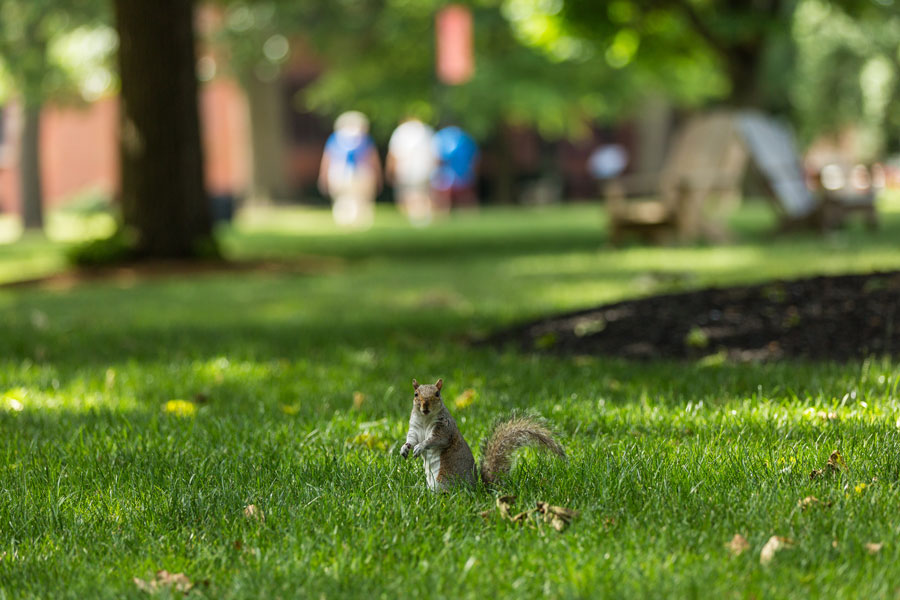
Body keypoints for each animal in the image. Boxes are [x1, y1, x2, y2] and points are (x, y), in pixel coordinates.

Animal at [400, 380, 564, 492]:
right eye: (416, 394)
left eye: (437, 394)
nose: (425, 406)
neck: (425, 419)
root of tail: (477, 490)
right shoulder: (415, 428)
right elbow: (411, 439)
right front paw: (404, 448)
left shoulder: (445, 428)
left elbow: (435, 440)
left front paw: (420, 447)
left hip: (444, 479)